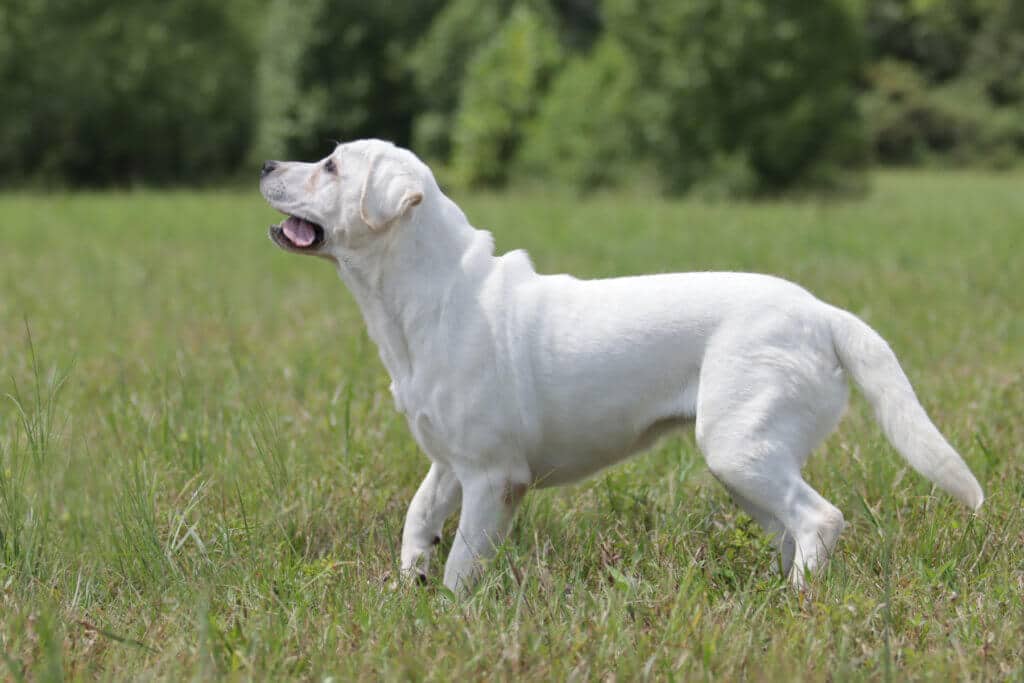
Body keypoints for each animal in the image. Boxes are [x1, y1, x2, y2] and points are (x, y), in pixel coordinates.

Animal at [262, 137, 983, 593]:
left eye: (330, 165)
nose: (267, 163)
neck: (422, 296)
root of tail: (823, 311)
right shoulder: (449, 461)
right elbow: (417, 518)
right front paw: (408, 582)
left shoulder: (494, 475)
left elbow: (463, 558)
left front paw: (449, 610)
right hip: (748, 465)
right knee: (795, 529)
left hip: (738, 448)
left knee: (820, 519)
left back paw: (796, 602)